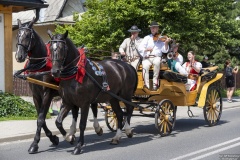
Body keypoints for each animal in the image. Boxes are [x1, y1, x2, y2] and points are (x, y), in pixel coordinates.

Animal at [14, 17, 87, 154]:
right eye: (17, 35)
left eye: (28, 36)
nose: (19, 56)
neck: (39, 66)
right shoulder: (35, 95)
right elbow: (40, 118)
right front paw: (53, 138)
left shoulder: (47, 94)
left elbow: (41, 118)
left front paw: (35, 144)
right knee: (75, 111)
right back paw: (72, 133)